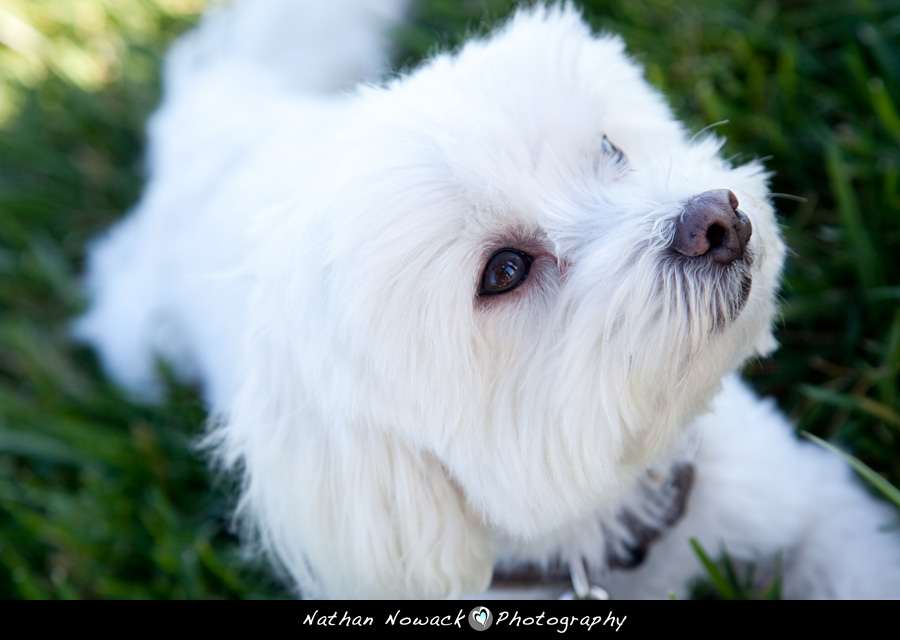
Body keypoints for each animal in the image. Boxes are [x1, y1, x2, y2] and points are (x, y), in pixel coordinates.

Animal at [77, 1, 900, 600]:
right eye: (504, 271)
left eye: (610, 149)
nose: (716, 220)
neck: (609, 524)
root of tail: (219, 111)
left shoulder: (802, 499)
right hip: (137, 322)